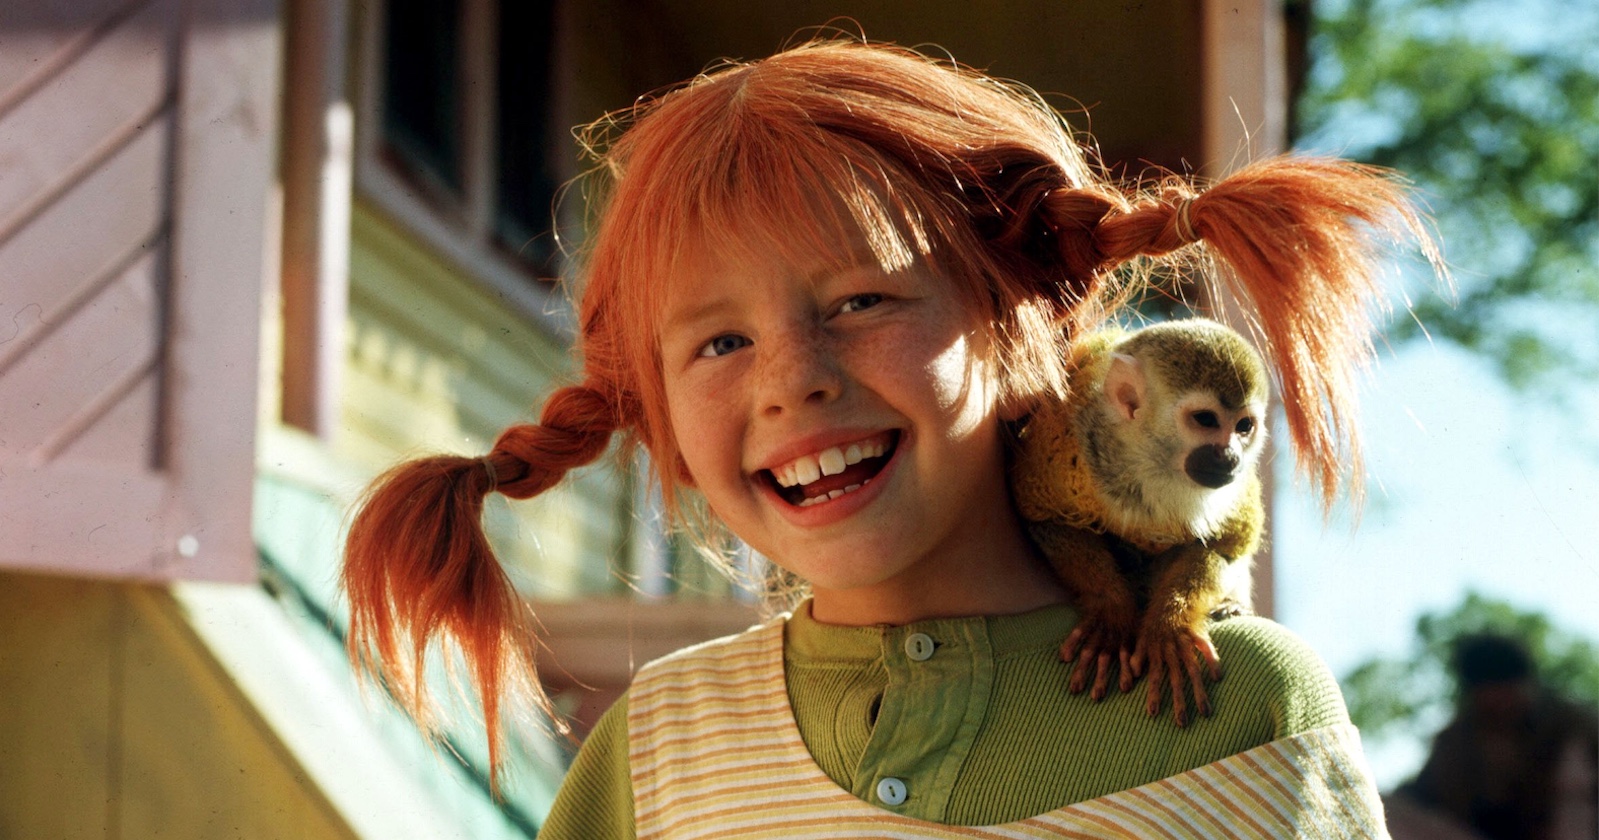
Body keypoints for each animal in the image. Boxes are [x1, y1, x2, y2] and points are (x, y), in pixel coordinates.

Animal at [1010, 318, 1269, 727]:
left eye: (1244, 426)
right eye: (1206, 420)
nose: (1230, 456)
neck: (1150, 462)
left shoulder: (1233, 487)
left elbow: (1226, 544)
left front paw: (1169, 625)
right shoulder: (1068, 443)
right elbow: (1046, 519)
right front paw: (1112, 612)